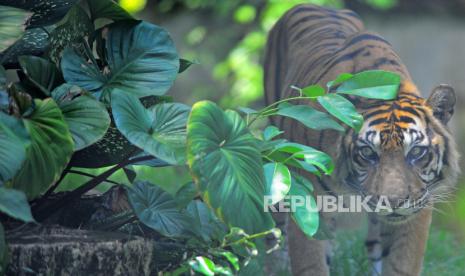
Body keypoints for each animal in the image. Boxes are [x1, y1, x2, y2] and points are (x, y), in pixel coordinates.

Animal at [262, 4, 458, 276]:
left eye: (416, 152)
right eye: (367, 153)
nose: (393, 202)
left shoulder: (419, 207)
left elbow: (402, 263)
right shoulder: (309, 205)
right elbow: (311, 263)